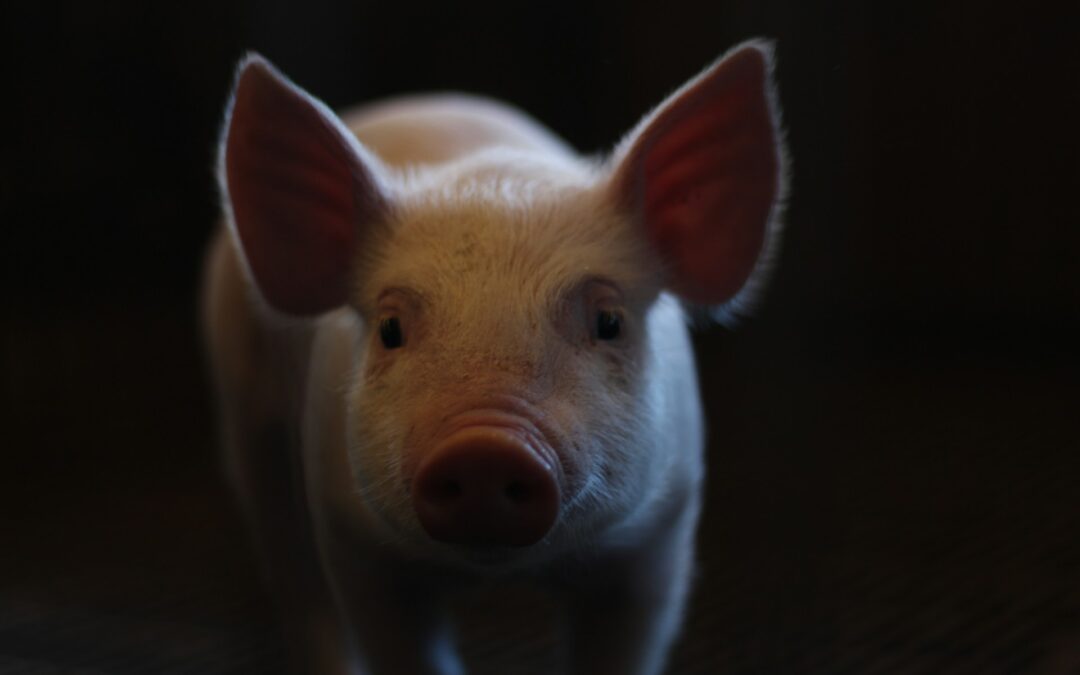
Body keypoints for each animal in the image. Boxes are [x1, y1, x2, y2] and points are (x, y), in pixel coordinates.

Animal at [201, 39, 786, 675]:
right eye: (389, 328)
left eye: (609, 322)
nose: (484, 447)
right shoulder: (355, 540)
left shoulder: (660, 534)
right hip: (248, 417)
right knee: (292, 570)